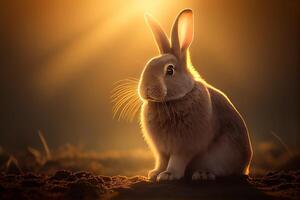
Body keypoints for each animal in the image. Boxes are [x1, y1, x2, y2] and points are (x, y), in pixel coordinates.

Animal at [139, 9, 253, 181]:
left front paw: (168, 175)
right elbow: (162, 160)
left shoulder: (185, 146)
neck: (173, 100)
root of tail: (246, 167)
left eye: (170, 70)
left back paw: (202, 174)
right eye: (147, 65)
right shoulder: (161, 150)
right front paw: (154, 173)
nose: (146, 89)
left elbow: (177, 160)